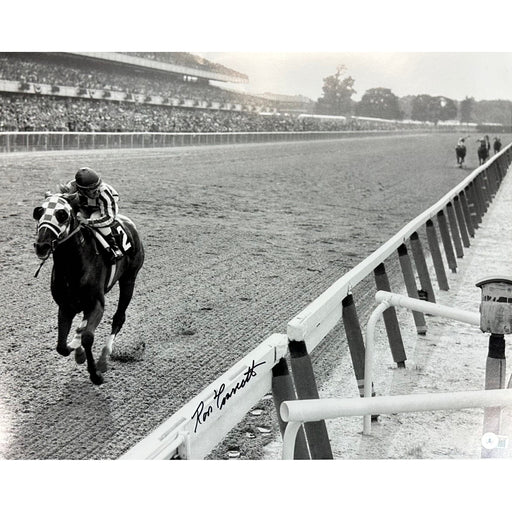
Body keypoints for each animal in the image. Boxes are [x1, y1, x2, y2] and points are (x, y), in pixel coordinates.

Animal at [32, 194, 144, 386]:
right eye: (39, 212)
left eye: (62, 214)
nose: (42, 245)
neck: (72, 265)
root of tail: (129, 223)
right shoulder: (65, 307)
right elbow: (61, 347)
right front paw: (76, 349)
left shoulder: (97, 304)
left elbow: (88, 337)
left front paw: (95, 374)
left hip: (129, 280)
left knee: (119, 318)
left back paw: (104, 358)